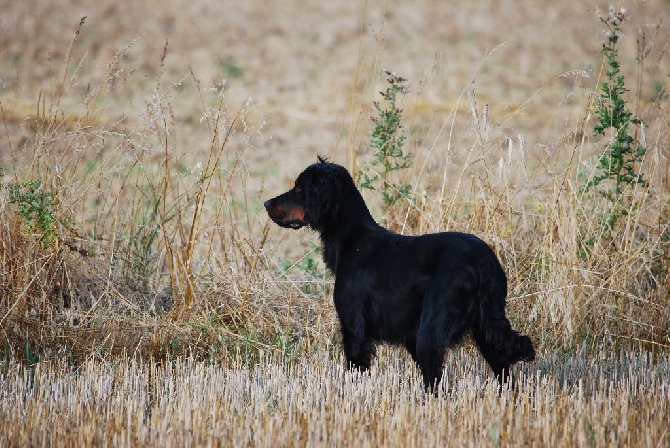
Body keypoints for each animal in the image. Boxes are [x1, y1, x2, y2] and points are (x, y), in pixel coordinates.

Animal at [266, 158, 540, 392]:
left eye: (300, 189)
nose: (267, 204)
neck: (352, 239)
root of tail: (484, 260)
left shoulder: (354, 329)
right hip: (486, 325)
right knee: (504, 363)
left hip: (430, 331)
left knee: (435, 383)